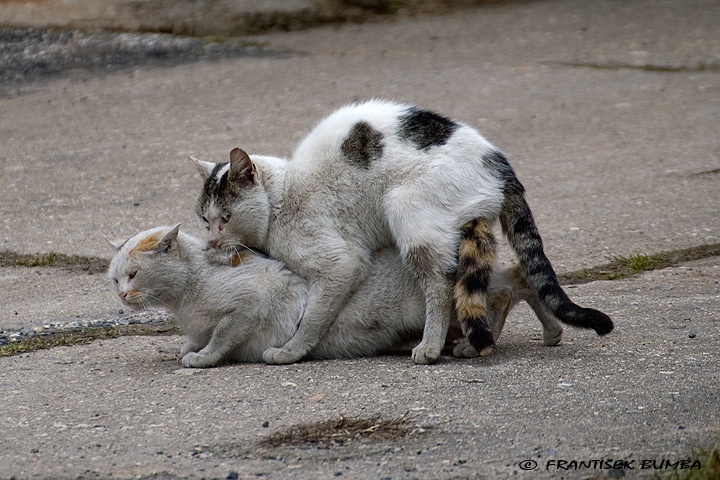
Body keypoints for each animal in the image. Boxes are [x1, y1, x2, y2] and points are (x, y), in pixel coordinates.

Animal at [108, 225, 564, 368]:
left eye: (133, 274)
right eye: (114, 279)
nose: (124, 295)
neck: (185, 299)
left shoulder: (249, 305)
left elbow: (220, 338)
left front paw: (200, 357)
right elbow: (194, 339)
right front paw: (189, 347)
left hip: (444, 299)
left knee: (503, 292)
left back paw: (476, 341)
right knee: (519, 276)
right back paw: (552, 330)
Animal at [191, 100, 612, 364]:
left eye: (225, 217)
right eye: (203, 219)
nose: (211, 240)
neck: (284, 195)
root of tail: (500, 166)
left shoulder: (341, 264)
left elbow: (312, 316)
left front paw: (292, 350)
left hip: (407, 212)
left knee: (442, 287)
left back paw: (431, 347)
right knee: (513, 275)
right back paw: (547, 332)